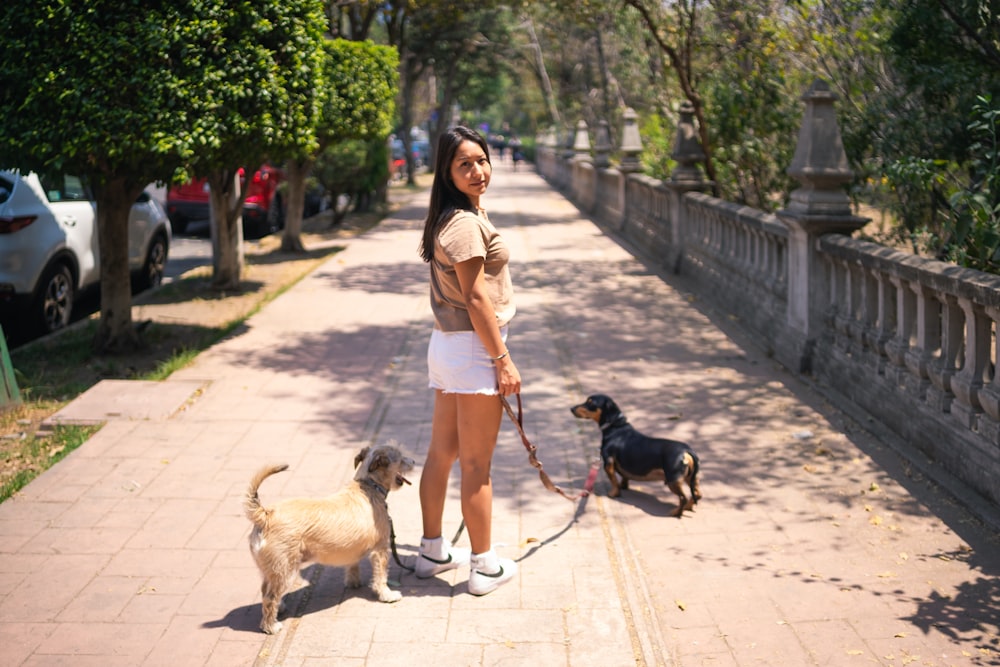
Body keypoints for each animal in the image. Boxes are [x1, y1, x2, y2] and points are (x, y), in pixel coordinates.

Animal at [244, 446, 412, 636]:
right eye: (400, 458)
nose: (413, 461)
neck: (368, 486)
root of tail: (265, 515)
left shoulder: (353, 549)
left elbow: (352, 565)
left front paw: (353, 582)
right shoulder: (381, 550)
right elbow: (381, 576)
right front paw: (387, 595)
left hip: (271, 570)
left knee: (266, 590)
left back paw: (280, 609)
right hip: (286, 570)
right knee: (269, 598)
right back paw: (271, 626)